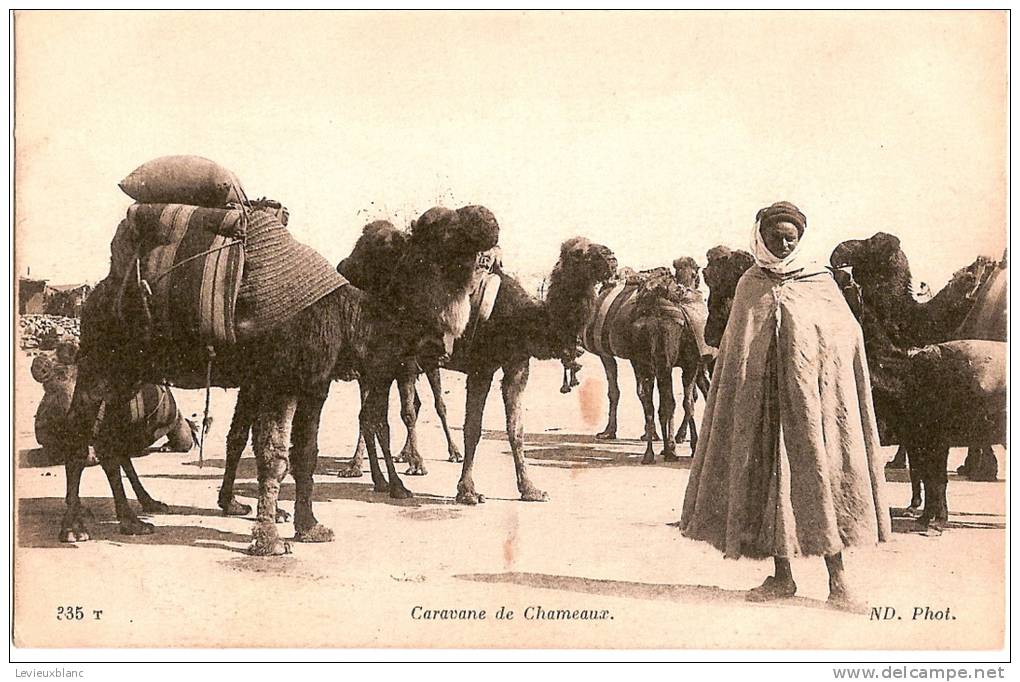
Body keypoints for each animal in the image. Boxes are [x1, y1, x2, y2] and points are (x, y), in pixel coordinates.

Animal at [59, 201, 497, 554]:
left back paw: (136, 517)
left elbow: (305, 453)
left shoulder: (314, 384)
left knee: (112, 439)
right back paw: (75, 527)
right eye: (441, 229)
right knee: (80, 435)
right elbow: (272, 455)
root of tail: (93, 296)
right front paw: (268, 539)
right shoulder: (278, 381)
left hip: (130, 374)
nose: (489, 220)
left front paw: (309, 526)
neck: (348, 315)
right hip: (98, 362)